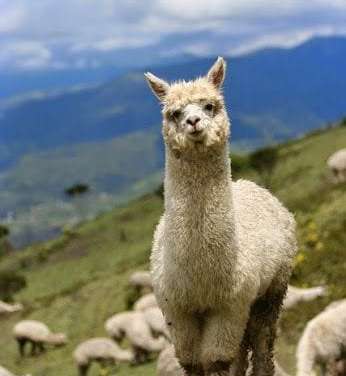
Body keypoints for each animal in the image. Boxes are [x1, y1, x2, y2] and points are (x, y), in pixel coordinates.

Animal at [146, 56, 298, 376]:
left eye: (210, 105)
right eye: (174, 113)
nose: (193, 122)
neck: (200, 275)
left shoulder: (228, 306)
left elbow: (216, 361)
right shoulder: (177, 310)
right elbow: (193, 362)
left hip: (271, 291)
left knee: (262, 342)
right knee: (242, 350)